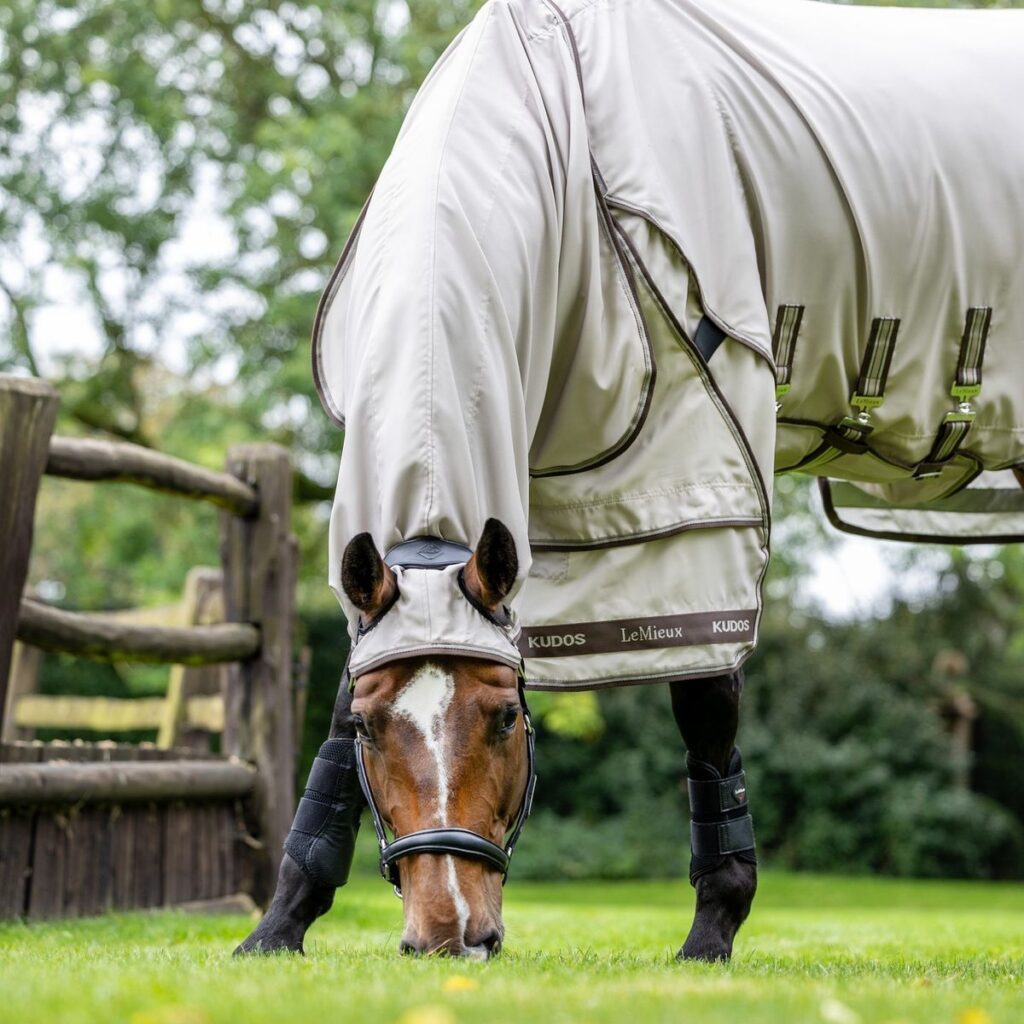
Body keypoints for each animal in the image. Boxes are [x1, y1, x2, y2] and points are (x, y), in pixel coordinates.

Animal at [238, 0, 1024, 961]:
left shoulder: (699, 503)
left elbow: (706, 707)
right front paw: (278, 924)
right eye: (374, 729)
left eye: (506, 717)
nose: (453, 933)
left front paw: (712, 935)